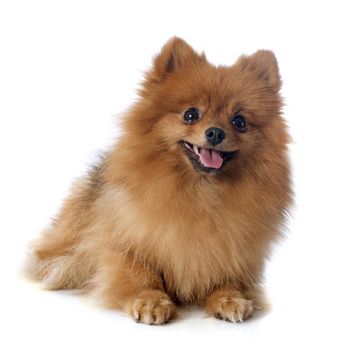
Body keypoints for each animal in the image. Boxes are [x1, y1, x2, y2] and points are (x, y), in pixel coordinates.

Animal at [26, 37, 292, 324]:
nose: (215, 132)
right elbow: (140, 273)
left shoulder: (233, 251)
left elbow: (227, 277)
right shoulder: (122, 240)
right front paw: (150, 302)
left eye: (239, 121)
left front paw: (230, 298)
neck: (202, 192)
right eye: (190, 115)